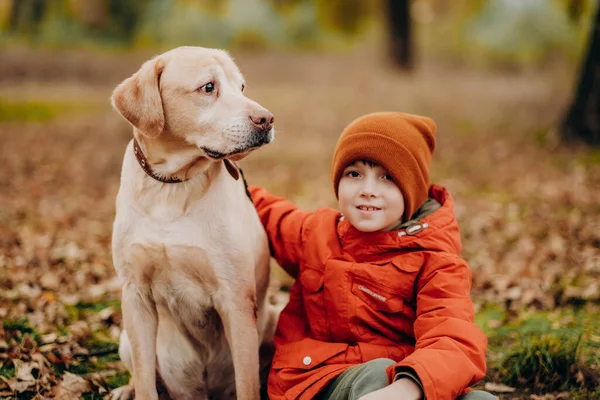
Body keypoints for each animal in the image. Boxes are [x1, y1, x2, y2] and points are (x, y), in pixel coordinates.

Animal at [109, 47, 278, 400]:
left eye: (241, 87)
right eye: (208, 87)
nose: (267, 119)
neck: (173, 185)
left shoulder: (236, 299)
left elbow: (247, 384)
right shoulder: (135, 294)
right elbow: (145, 382)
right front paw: (136, 388)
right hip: (125, 339)